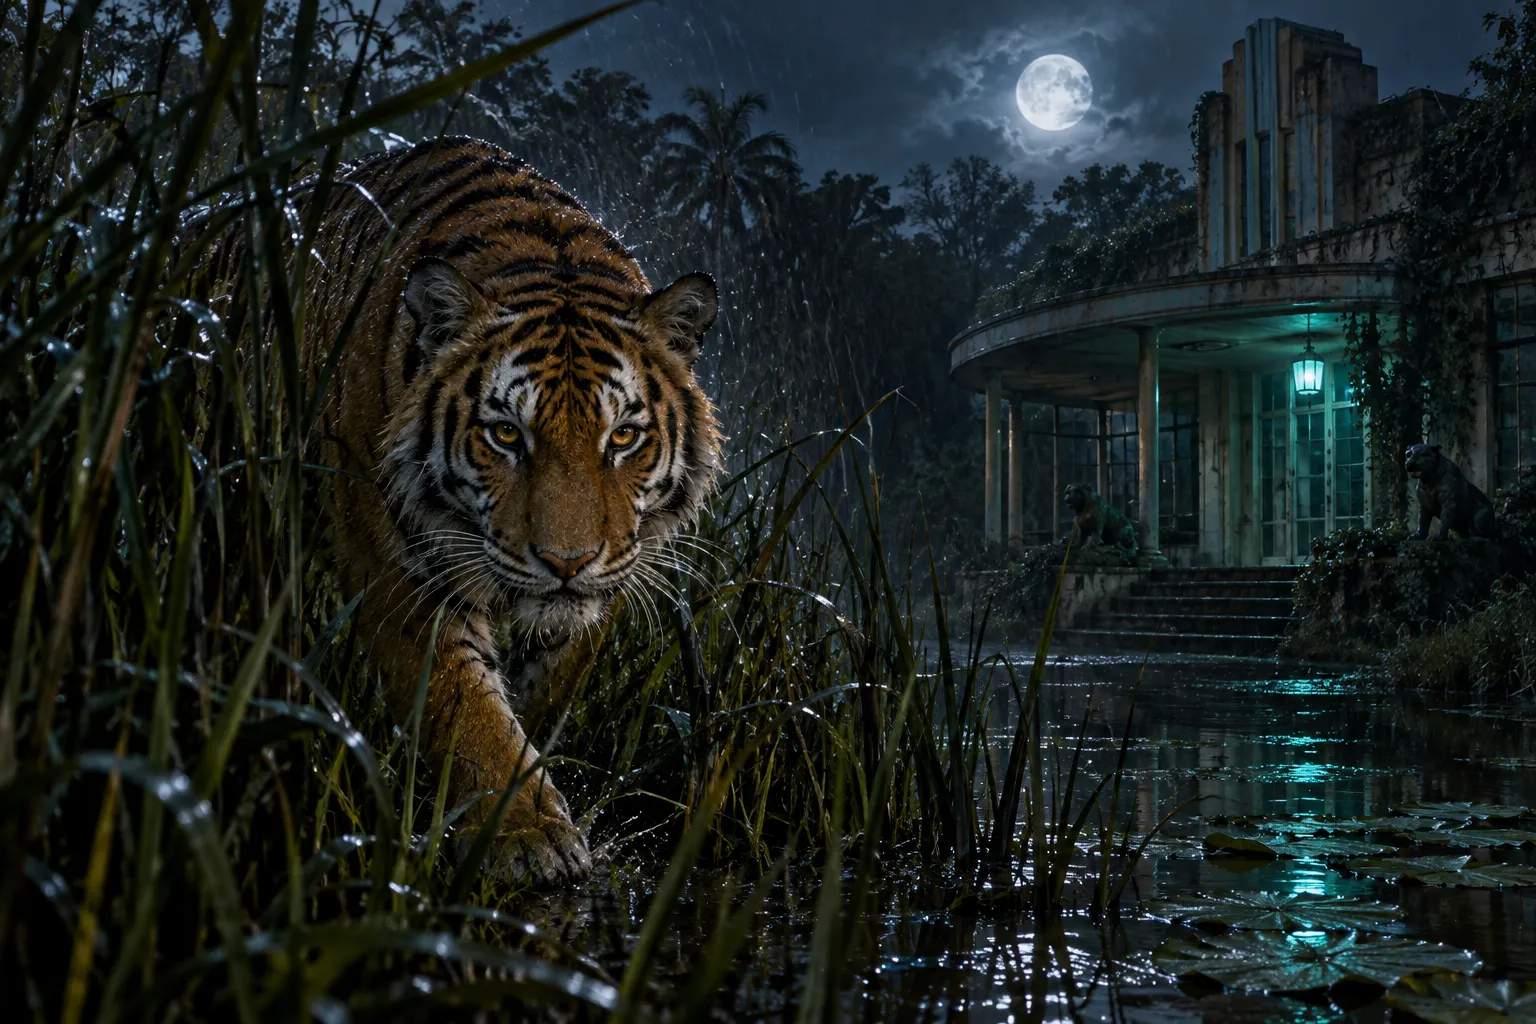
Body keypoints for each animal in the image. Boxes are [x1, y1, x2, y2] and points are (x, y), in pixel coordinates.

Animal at [205, 137, 721, 883]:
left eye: (623, 437)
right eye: (505, 434)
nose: (566, 562)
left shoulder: (617, 569)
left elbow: (549, 685)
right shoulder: (400, 570)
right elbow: (468, 712)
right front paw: (531, 839)